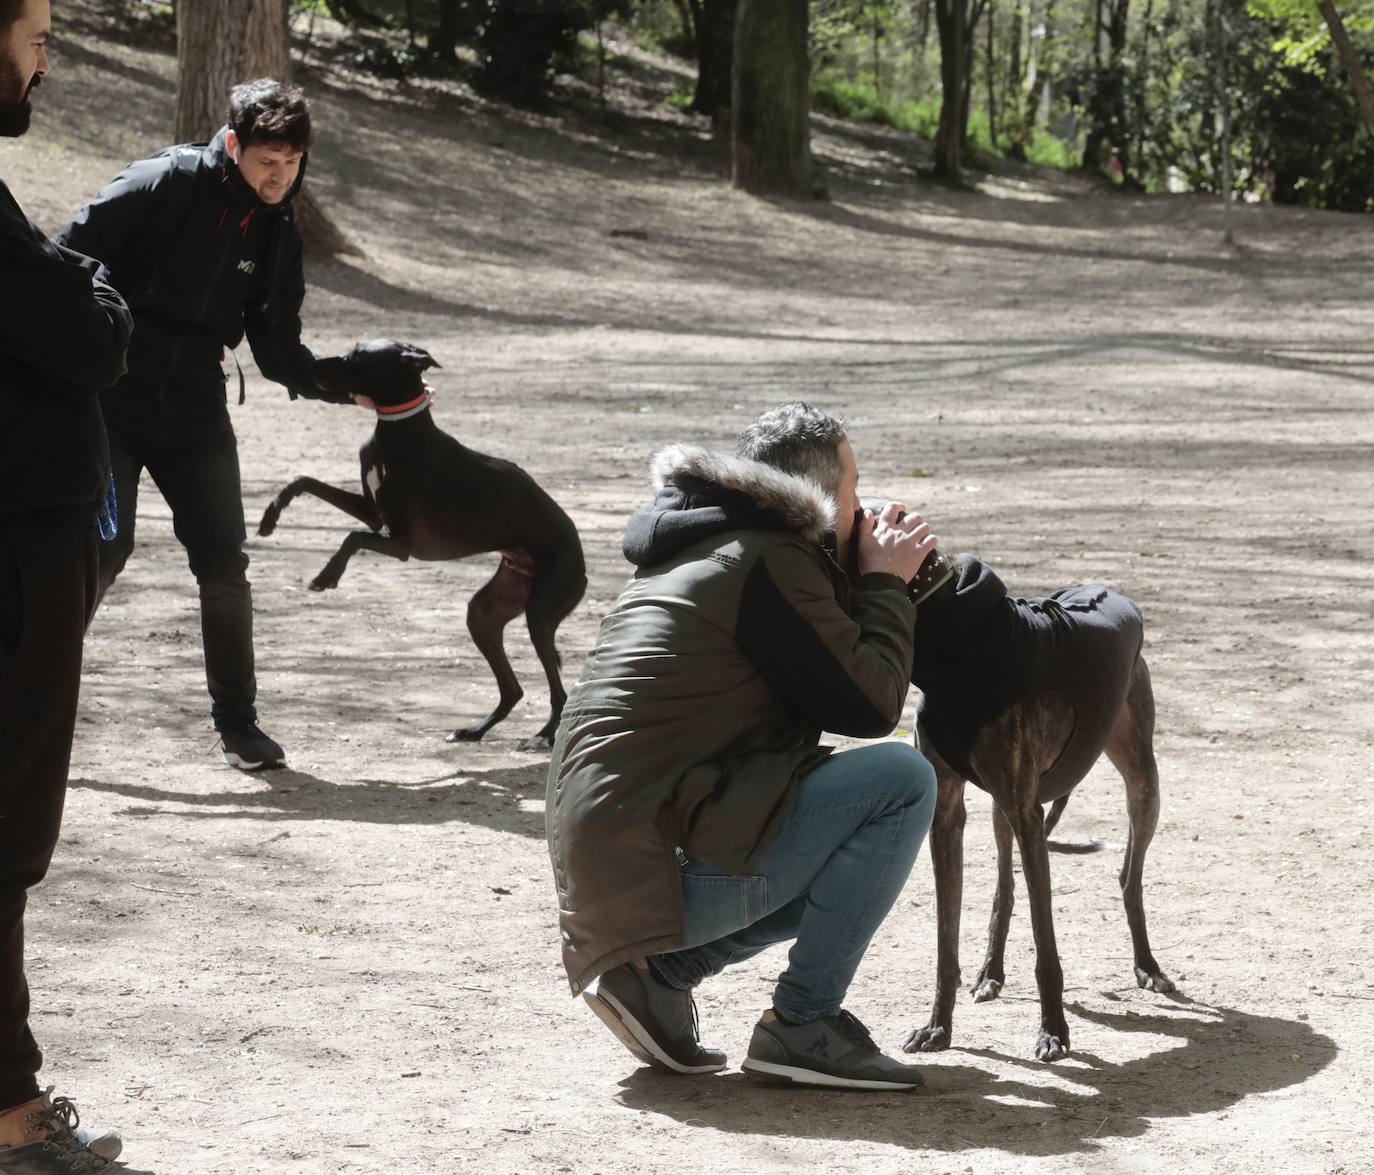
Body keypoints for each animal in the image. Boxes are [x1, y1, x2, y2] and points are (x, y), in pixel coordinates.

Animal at [258, 335, 585, 747]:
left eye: (358, 357)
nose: (311, 364)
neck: (399, 434)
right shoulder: (373, 513)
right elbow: (303, 480)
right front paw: (271, 514)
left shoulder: (400, 543)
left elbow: (352, 537)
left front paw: (326, 576)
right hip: (485, 613)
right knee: (512, 688)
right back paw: (475, 730)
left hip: (540, 612)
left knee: (557, 688)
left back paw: (543, 735)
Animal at [895, 546, 1176, 1060]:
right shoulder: (948, 812)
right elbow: (947, 940)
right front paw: (937, 1027)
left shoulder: (1029, 814)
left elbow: (1046, 946)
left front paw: (1053, 1031)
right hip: (1002, 808)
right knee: (1005, 888)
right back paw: (990, 972)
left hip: (1142, 781)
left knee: (1129, 877)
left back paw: (1147, 966)